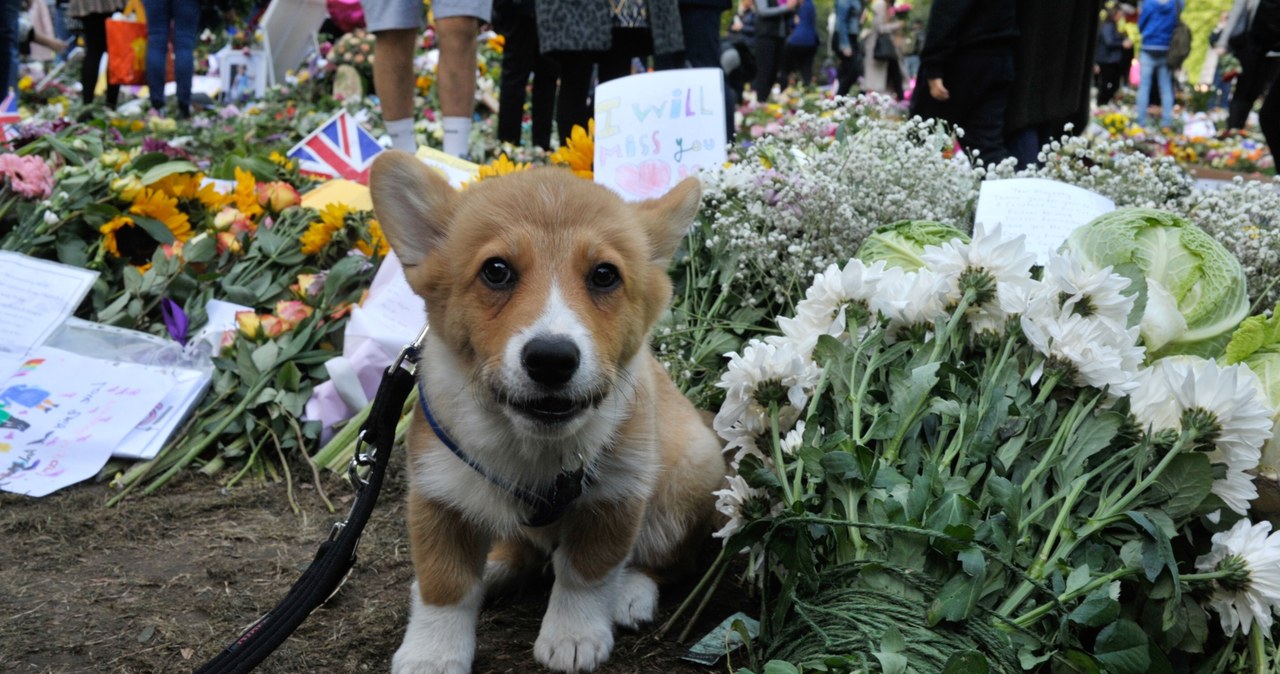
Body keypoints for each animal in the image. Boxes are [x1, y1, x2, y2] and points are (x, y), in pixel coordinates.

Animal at [371, 152, 732, 674]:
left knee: (666, 560)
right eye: (496, 271)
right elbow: (445, 584)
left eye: (604, 275)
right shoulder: (438, 495)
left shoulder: (617, 495)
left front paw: (573, 636)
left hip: (688, 478)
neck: (531, 446)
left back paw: (631, 593)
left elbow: (585, 572)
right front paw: (432, 654)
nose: (551, 359)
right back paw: (497, 565)